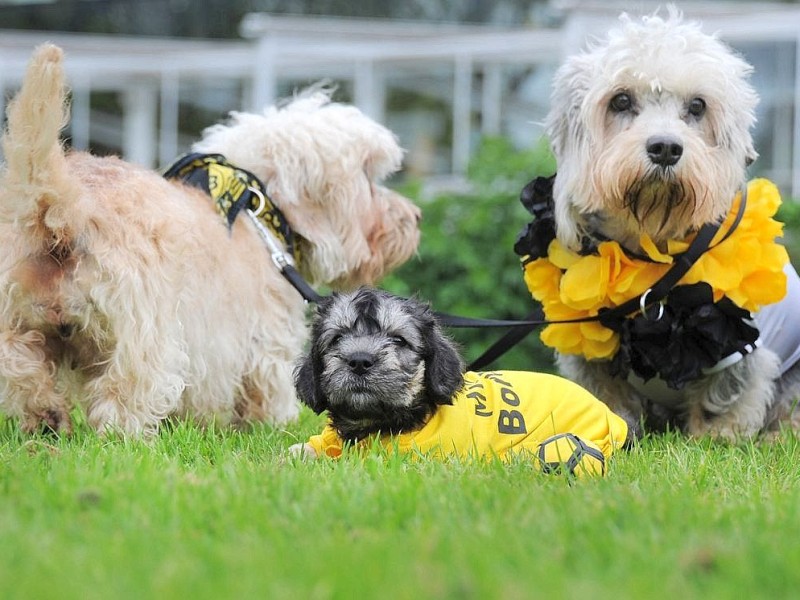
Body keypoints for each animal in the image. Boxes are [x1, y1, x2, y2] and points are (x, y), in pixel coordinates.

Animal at [0, 43, 422, 436]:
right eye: (368, 177)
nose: (415, 218)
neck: (261, 210)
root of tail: (63, 208)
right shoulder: (265, 339)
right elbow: (268, 387)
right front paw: (273, 425)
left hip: (15, 321)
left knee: (20, 371)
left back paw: (46, 418)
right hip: (145, 333)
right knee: (126, 391)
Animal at [520, 8, 800, 440]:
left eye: (698, 106)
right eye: (620, 100)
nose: (666, 147)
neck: (651, 249)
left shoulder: (739, 347)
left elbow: (724, 399)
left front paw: (714, 439)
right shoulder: (589, 354)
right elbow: (607, 399)